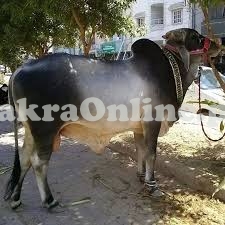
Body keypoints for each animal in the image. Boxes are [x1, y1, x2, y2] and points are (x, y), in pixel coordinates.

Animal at [3, 28, 221, 209]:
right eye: (196, 37)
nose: (218, 43)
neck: (171, 68)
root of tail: (20, 69)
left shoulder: (139, 127)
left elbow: (141, 150)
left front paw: (141, 176)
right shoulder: (152, 122)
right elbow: (151, 154)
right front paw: (152, 185)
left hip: (30, 131)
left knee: (24, 159)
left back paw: (16, 199)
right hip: (45, 130)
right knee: (38, 163)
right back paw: (49, 200)